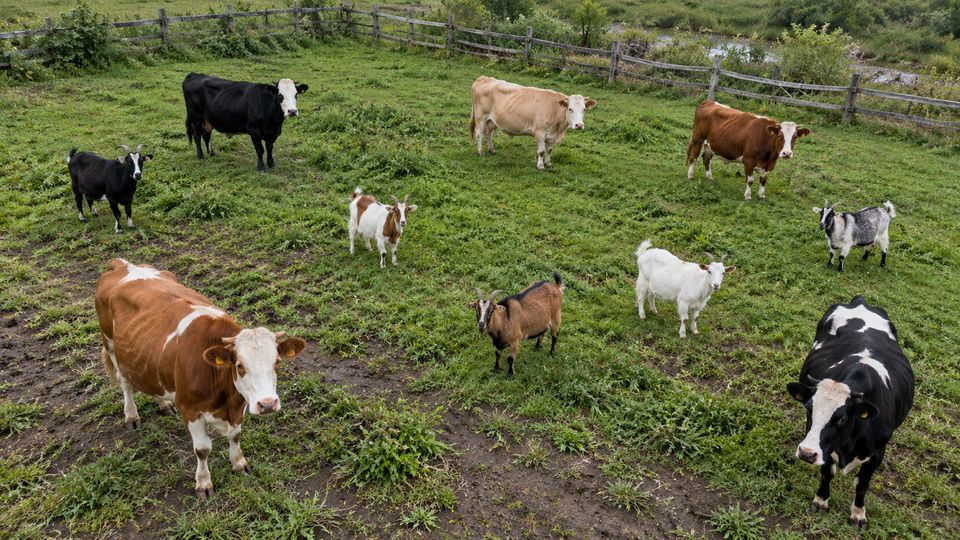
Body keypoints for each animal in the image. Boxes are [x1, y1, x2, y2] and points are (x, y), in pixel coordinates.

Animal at [95, 258, 306, 499]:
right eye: (239, 365)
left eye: (277, 362)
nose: (268, 404)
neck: (226, 399)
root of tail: (121, 263)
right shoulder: (190, 409)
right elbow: (203, 449)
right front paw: (203, 483)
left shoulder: (237, 406)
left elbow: (235, 435)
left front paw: (239, 463)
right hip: (111, 346)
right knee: (125, 383)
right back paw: (131, 415)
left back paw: (164, 404)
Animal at [786, 296, 914, 528]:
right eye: (809, 408)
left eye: (842, 419)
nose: (807, 453)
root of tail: (860, 300)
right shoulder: (826, 447)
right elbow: (826, 473)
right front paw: (821, 500)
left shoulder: (877, 453)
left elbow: (862, 484)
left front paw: (858, 514)